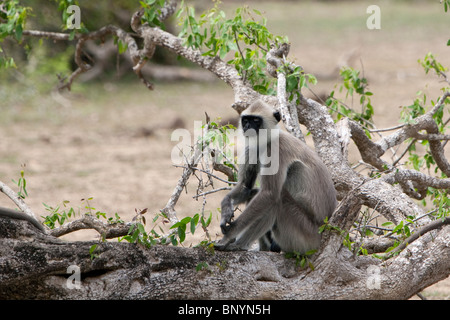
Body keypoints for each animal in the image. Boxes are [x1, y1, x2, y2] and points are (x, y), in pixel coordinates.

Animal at [215, 100, 338, 252]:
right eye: (246, 120)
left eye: (256, 120)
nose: (247, 127)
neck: (268, 139)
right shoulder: (253, 147)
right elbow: (246, 186)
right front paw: (225, 211)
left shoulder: (276, 150)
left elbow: (269, 194)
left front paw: (228, 235)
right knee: (254, 194)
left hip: (307, 237)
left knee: (277, 200)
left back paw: (239, 245)